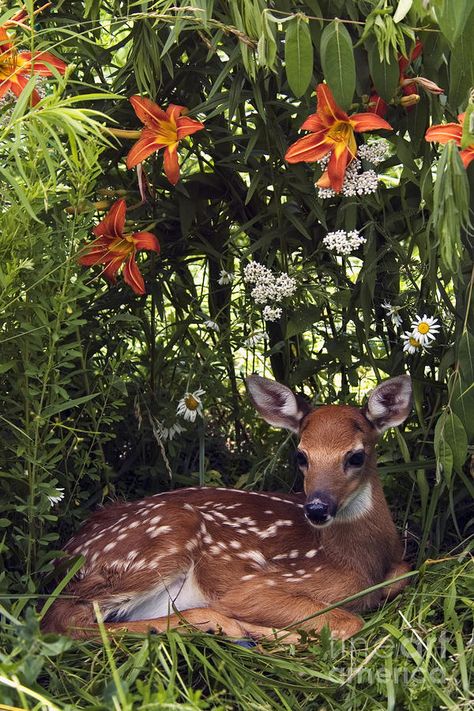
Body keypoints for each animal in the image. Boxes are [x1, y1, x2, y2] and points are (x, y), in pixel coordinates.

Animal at [41, 376, 412, 644]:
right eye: (301, 455)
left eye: (356, 456)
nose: (317, 508)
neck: (358, 560)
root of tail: (65, 552)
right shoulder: (256, 587)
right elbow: (348, 621)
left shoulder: (400, 568)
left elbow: (402, 576)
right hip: (161, 540)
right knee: (60, 619)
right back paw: (235, 630)